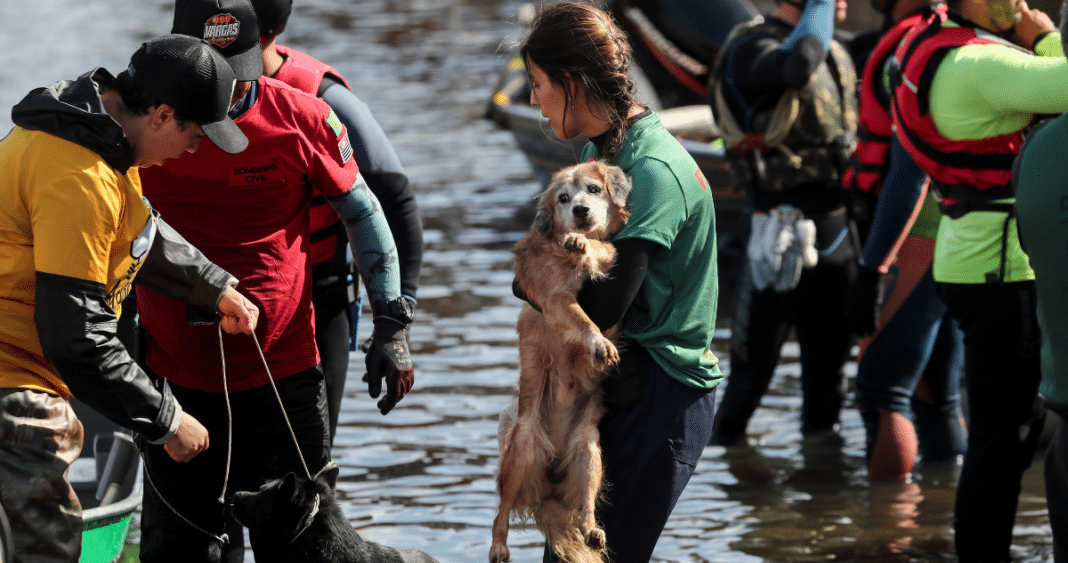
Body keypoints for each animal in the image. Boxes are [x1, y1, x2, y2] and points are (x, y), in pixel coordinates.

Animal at [491, 161, 632, 563]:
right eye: (563, 199)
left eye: (593, 189)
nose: (580, 211)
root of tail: (551, 483)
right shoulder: (556, 299)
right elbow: (583, 321)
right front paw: (598, 343)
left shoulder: (606, 255)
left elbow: (601, 246)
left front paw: (582, 244)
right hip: (522, 451)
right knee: (501, 511)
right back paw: (498, 545)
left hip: (588, 453)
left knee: (585, 505)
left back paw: (591, 529)